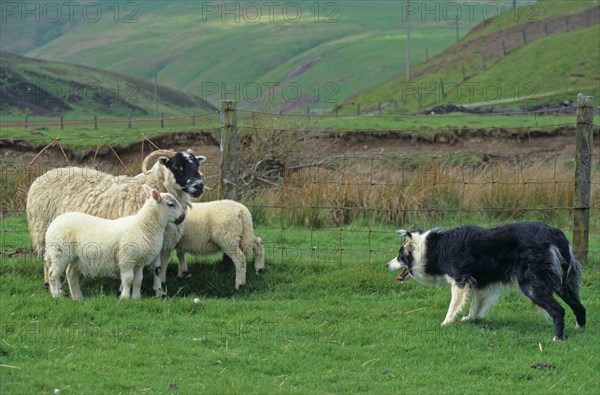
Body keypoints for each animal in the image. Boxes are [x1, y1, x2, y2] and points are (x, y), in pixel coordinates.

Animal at [44, 186, 184, 300]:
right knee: (53, 274)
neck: (143, 226)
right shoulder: (127, 259)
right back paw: (57, 295)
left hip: (76, 257)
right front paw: (125, 298)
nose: (183, 217)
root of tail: (53, 223)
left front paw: (136, 298)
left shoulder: (139, 262)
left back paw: (78, 297)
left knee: (70, 274)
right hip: (59, 252)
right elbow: (128, 279)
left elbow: (138, 280)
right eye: (171, 204)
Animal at [386, 223, 588, 340]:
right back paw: (580, 329)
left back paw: (557, 338)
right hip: (562, 281)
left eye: (399, 256)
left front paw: (446, 322)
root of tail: (556, 235)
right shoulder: (479, 283)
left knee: (558, 310)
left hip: (532, 284)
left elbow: (453, 305)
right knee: (579, 306)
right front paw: (470, 318)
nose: (387, 264)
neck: (433, 248)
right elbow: (476, 304)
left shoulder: (460, 280)